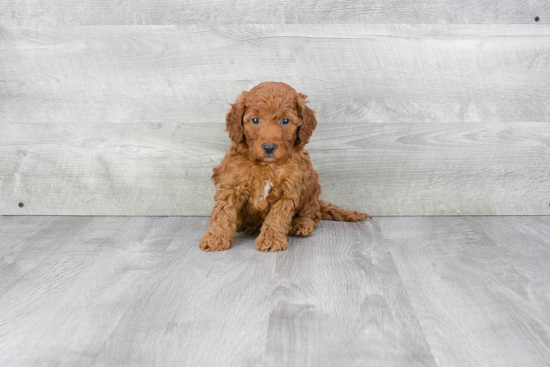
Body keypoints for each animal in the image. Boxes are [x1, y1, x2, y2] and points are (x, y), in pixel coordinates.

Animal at [201, 81, 374, 252]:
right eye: (255, 120)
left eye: (285, 121)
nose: (269, 147)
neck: (266, 165)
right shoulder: (232, 184)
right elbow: (223, 212)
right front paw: (215, 237)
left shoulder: (289, 189)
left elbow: (277, 216)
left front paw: (271, 239)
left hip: (312, 184)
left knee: (313, 214)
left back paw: (301, 224)